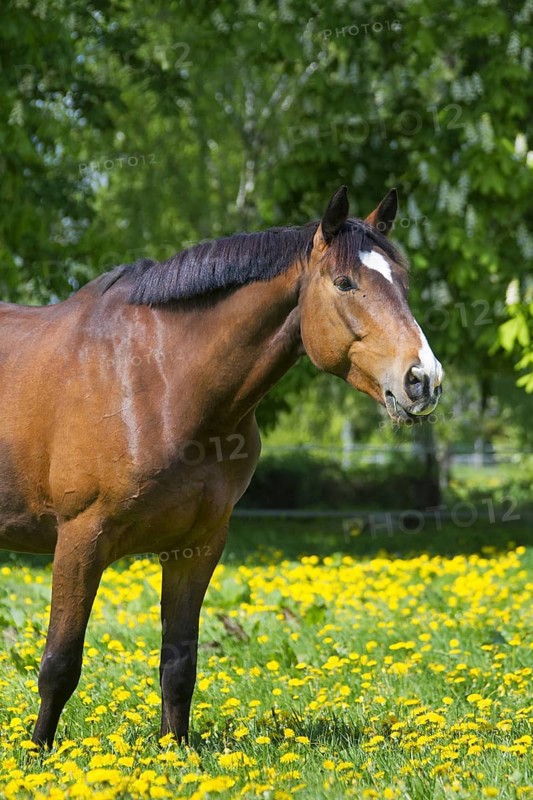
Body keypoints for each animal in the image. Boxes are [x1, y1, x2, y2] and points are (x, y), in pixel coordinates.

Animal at [0, 186, 442, 748]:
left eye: (402, 283)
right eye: (345, 282)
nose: (423, 380)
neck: (156, 379)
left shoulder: (197, 546)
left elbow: (179, 663)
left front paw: (174, 751)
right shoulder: (80, 540)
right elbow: (59, 663)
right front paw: (38, 754)